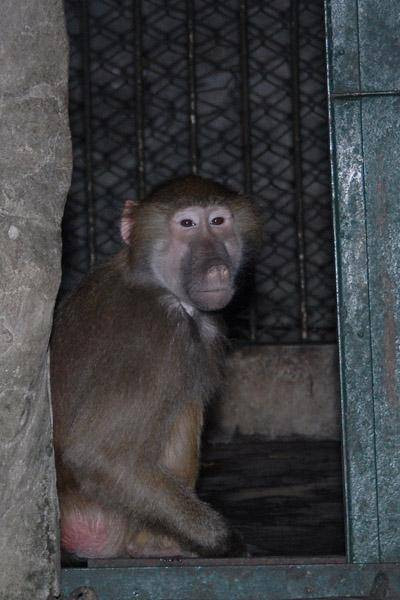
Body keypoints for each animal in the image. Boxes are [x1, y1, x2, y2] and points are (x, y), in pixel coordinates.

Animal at [50, 175, 261, 559]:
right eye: (187, 224)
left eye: (218, 221)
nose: (217, 268)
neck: (151, 278)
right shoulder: (158, 331)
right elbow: (99, 456)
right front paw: (224, 542)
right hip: (100, 520)